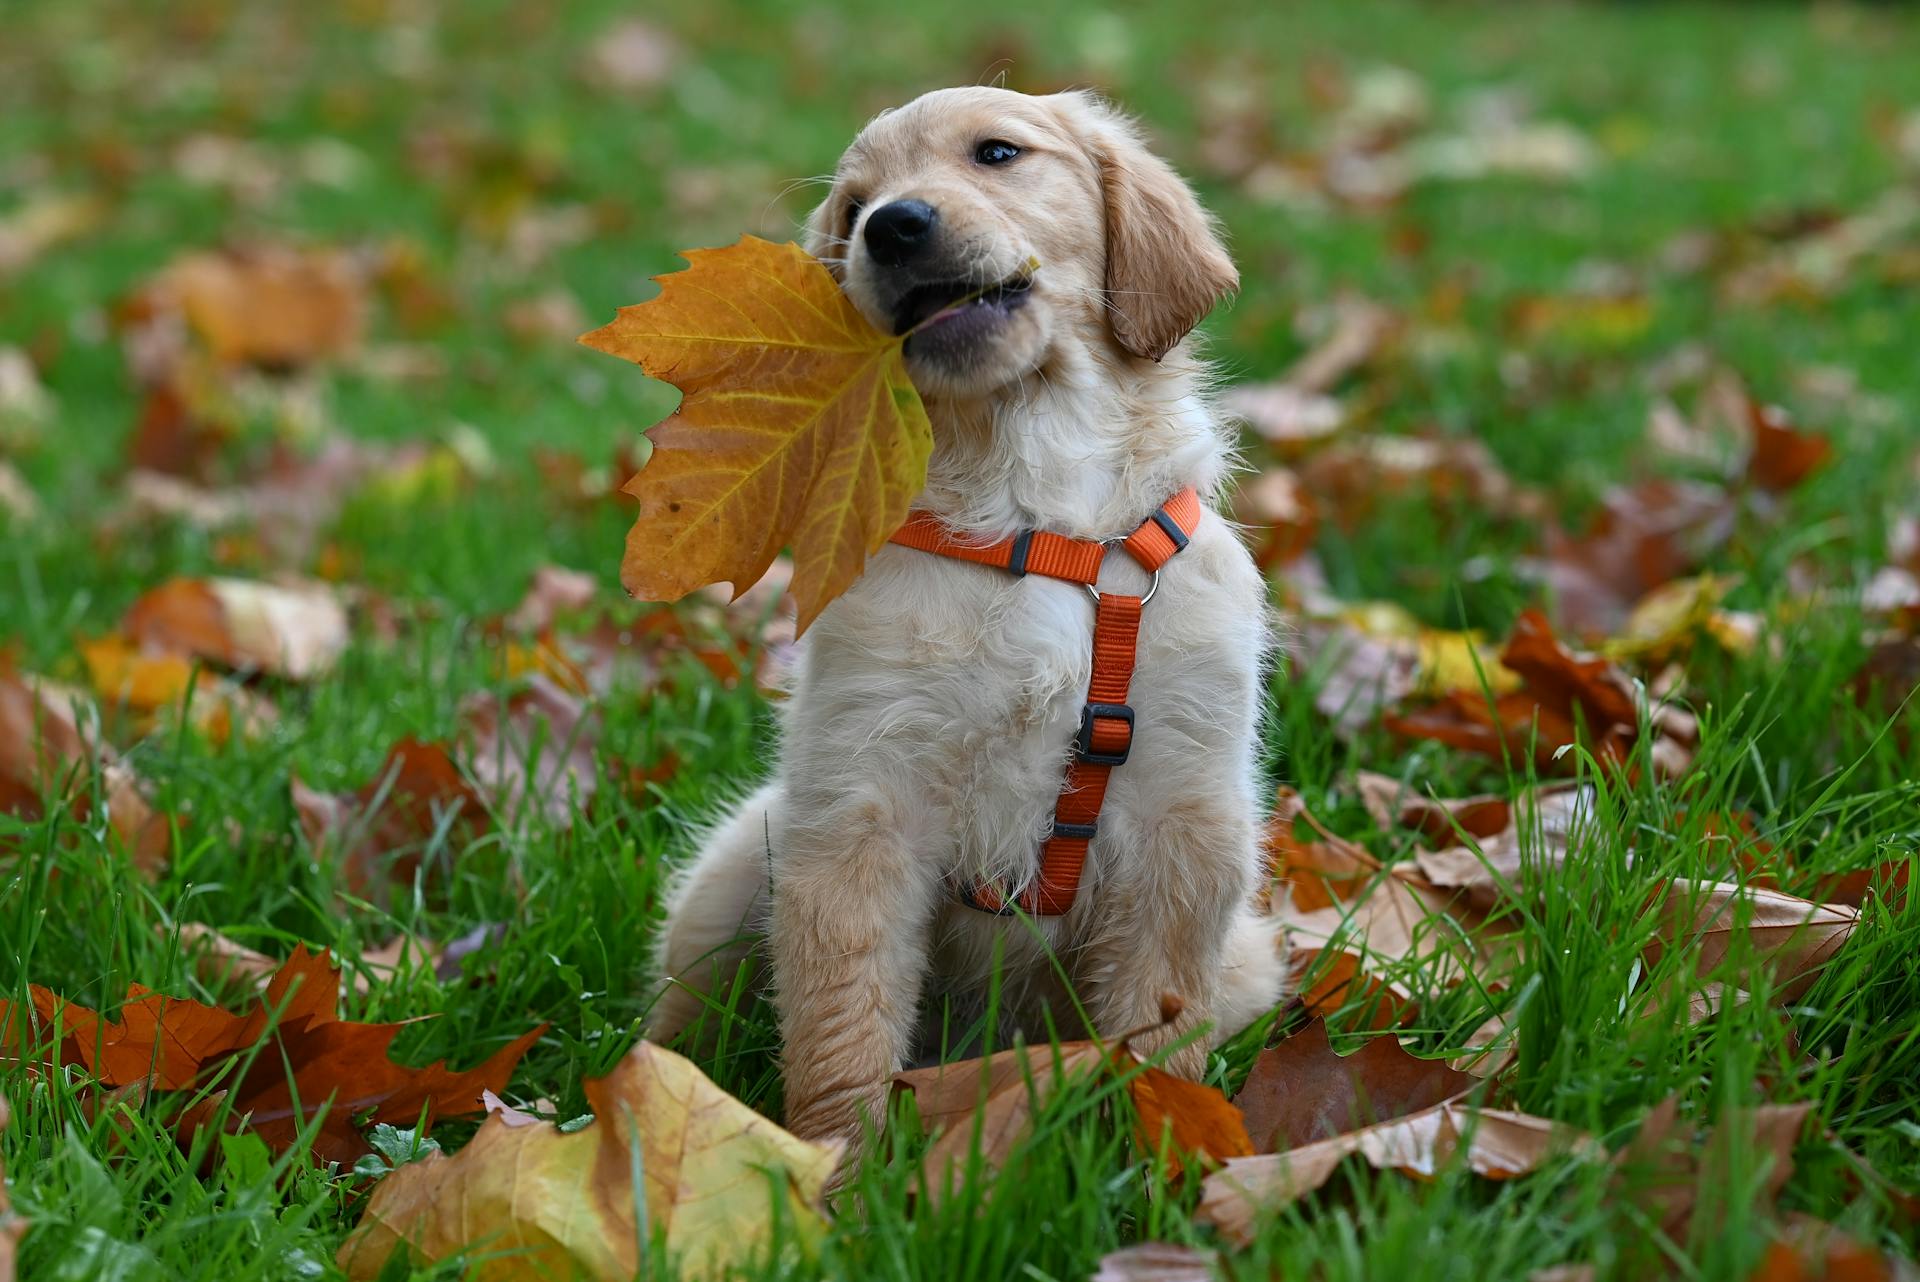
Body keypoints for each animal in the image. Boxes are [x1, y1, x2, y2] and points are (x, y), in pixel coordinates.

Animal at [648, 87, 1290, 1143]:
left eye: (997, 154)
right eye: (855, 206)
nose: (894, 225)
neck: (1036, 515)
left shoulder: (1188, 818)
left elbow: (1157, 1023)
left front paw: (1159, 1143)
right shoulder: (860, 807)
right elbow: (843, 1024)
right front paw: (837, 1167)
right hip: (740, 863)